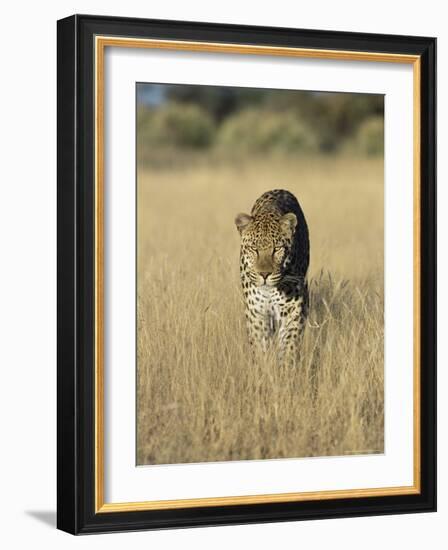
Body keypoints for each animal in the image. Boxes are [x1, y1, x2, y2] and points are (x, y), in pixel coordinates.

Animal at [236, 191, 310, 366]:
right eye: (254, 249)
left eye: (277, 249)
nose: (264, 274)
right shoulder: (256, 312)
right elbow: (260, 347)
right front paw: (263, 368)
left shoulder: (293, 309)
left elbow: (289, 345)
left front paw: (286, 369)